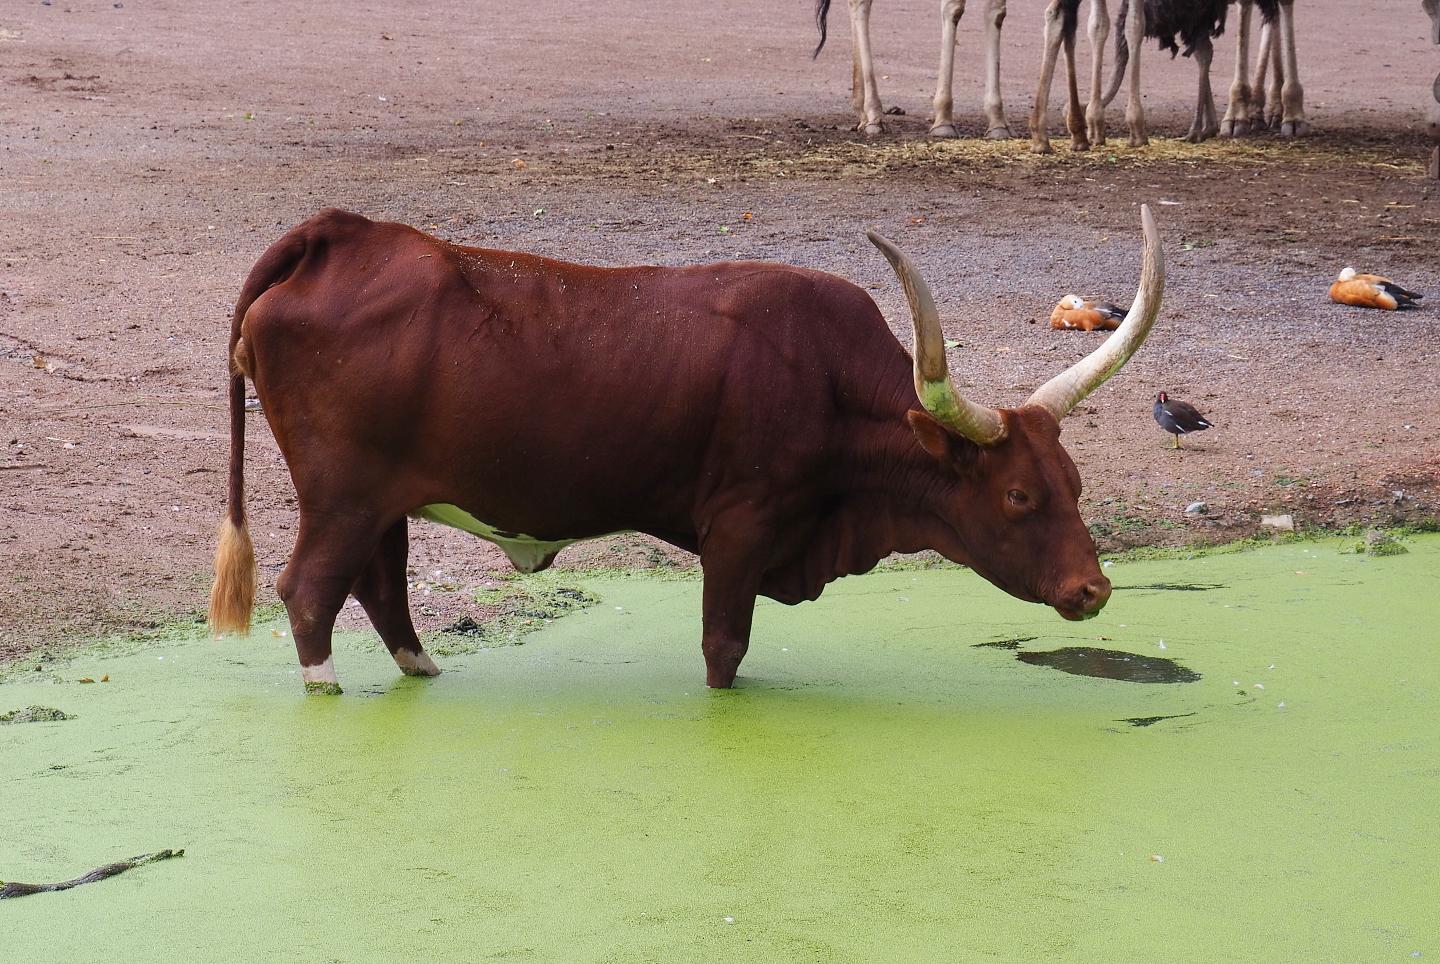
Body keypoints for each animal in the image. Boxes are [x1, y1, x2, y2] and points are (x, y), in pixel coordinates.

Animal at [209, 206, 1165, 694]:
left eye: (1074, 481)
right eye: (1017, 496)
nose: (1094, 590)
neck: (825, 379)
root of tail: (339, 233)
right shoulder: (739, 531)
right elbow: (723, 651)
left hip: (383, 501)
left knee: (379, 585)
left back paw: (422, 668)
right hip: (342, 494)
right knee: (309, 591)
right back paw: (328, 685)